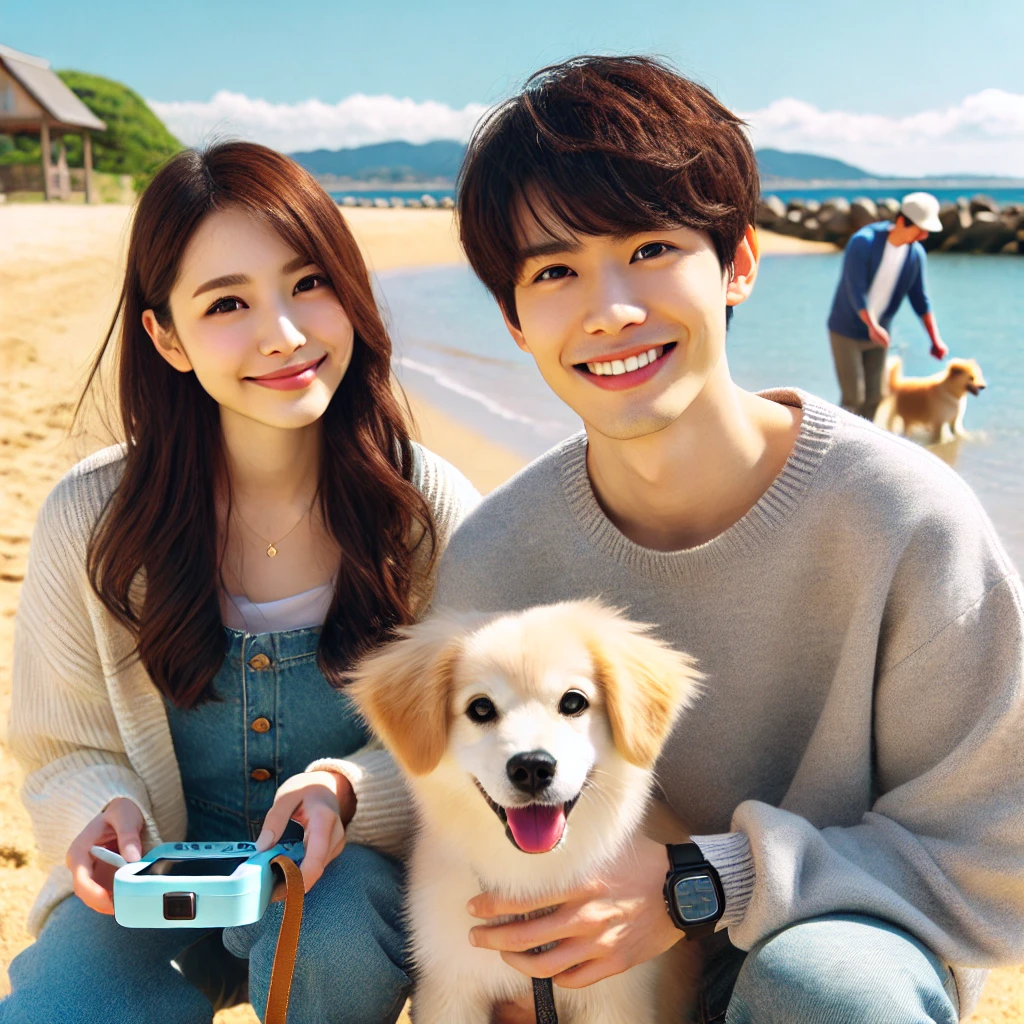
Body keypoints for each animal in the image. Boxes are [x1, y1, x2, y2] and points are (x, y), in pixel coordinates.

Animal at [348, 598, 700, 1024]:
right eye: (481, 708)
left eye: (573, 702)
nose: (532, 767)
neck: (531, 879)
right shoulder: (449, 990)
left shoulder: (616, 1000)